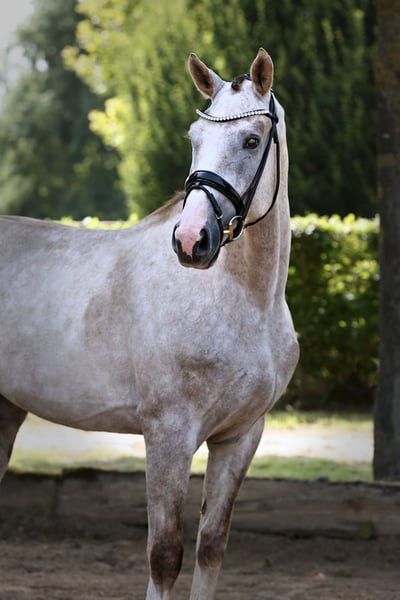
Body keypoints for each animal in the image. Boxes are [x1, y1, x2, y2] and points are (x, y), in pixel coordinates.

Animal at [0, 48, 298, 599]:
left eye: (251, 140)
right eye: (193, 138)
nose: (190, 240)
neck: (246, 302)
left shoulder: (241, 437)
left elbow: (211, 547)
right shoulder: (168, 435)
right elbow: (164, 556)